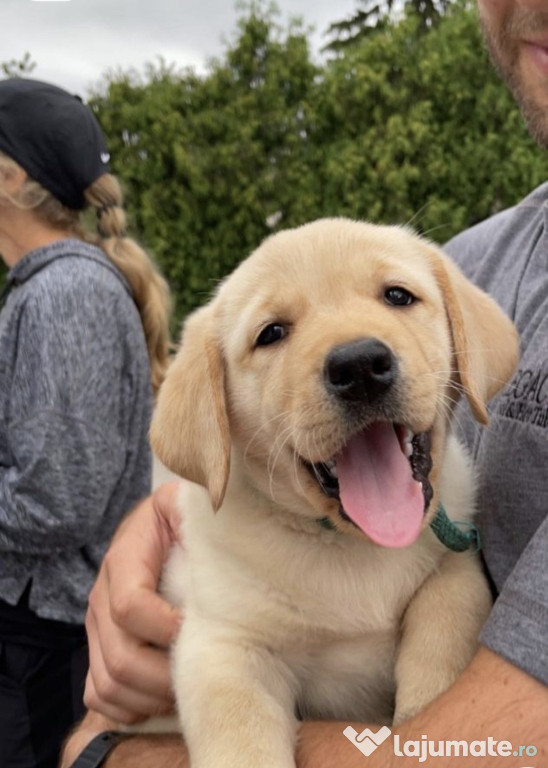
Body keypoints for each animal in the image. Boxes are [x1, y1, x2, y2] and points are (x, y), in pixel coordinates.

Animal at [149, 218, 520, 768]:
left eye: (397, 295)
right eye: (272, 333)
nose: (360, 365)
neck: (354, 547)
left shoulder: (456, 569)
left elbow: (441, 635)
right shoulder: (223, 647)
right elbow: (240, 737)